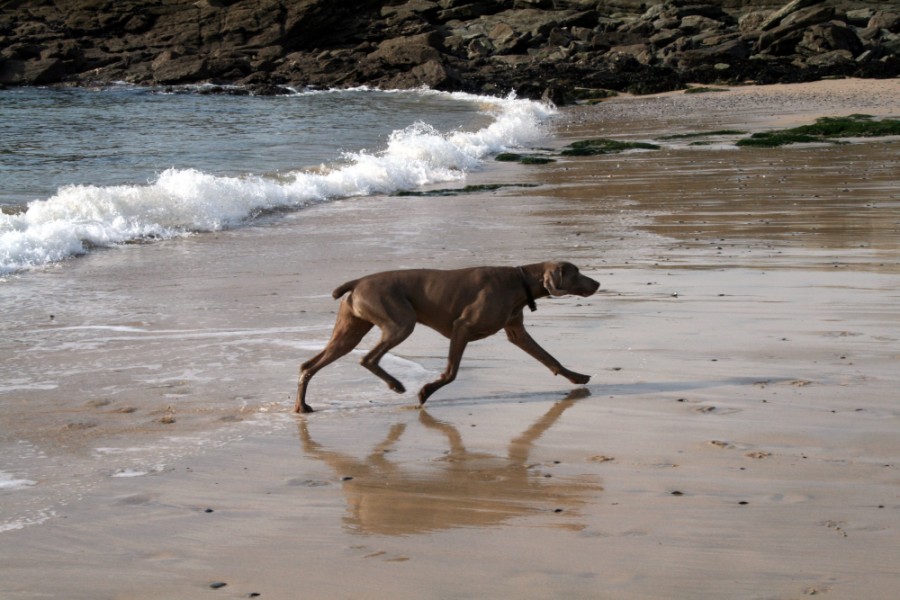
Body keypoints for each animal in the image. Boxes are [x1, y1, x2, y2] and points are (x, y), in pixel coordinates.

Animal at [298, 260, 600, 414]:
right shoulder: (462, 327)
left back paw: (301, 406)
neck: (520, 279)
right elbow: (452, 371)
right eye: (577, 272)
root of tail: (358, 281)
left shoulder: (517, 332)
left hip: (349, 330)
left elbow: (550, 359)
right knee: (368, 359)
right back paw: (396, 385)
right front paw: (426, 391)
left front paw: (577, 377)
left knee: (308, 366)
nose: (597, 283)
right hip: (400, 322)